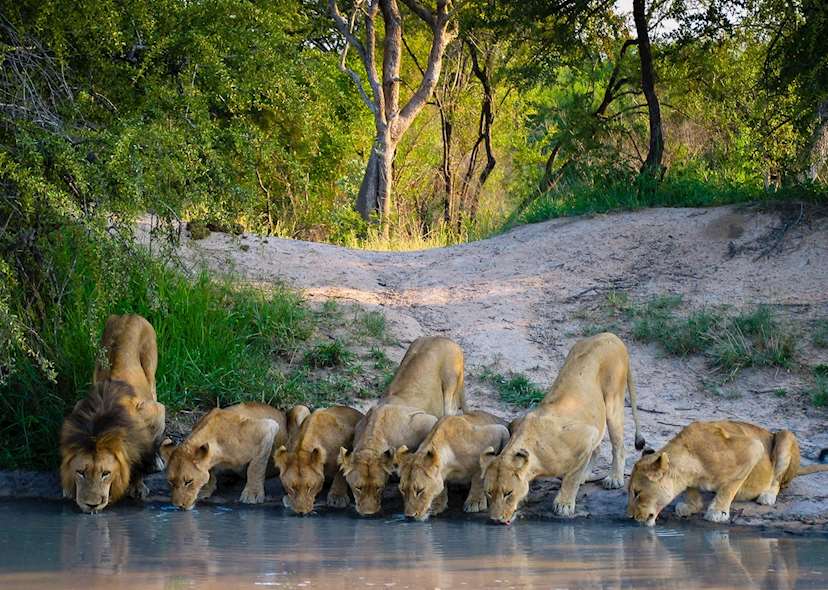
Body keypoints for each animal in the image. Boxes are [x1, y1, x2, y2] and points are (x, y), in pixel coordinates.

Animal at [59, 314, 167, 512]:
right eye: (80, 472)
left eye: (105, 473)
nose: (91, 505)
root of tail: (129, 314)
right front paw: (68, 489)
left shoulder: (155, 412)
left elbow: (143, 452)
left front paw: (138, 486)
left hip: (150, 369)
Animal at [336, 338, 466, 520]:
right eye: (358, 487)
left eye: (379, 487)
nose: (368, 514)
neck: (373, 437)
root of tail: (444, 338)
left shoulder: (427, 421)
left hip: (450, 390)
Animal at [478, 336, 648, 524]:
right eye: (488, 493)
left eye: (508, 493)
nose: (495, 519)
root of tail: (610, 335)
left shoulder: (585, 436)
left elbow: (571, 478)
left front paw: (564, 504)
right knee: (598, 448)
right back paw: (587, 475)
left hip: (613, 401)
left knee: (618, 445)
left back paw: (614, 479)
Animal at [628, 420, 828, 528]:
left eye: (637, 493)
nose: (629, 517)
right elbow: (692, 490)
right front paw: (691, 506)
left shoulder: (753, 447)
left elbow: (729, 486)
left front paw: (718, 511)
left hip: (785, 436)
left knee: (778, 481)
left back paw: (767, 496)